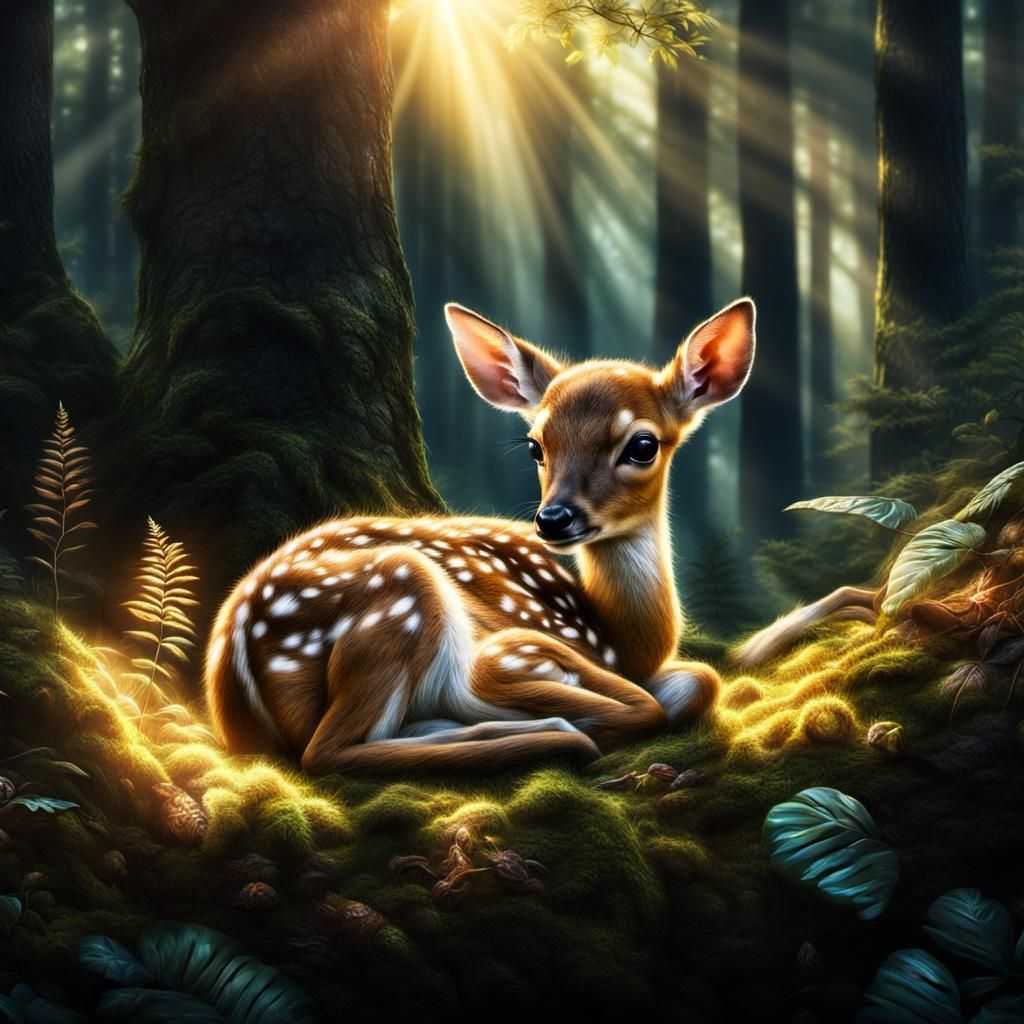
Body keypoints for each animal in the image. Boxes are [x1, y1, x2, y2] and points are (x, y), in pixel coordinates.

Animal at [204, 298, 877, 774]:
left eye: (643, 444)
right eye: (535, 444)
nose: (554, 519)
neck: (624, 641)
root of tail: (229, 663)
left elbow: (705, 676)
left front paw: (865, 602)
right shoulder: (512, 651)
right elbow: (671, 694)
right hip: (401, 591)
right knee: (327, 753)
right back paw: (545, 732)